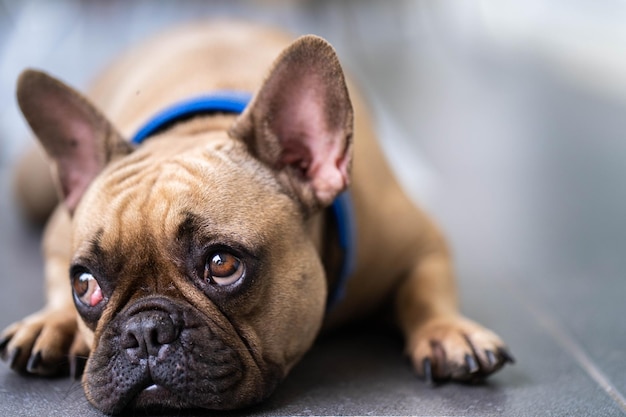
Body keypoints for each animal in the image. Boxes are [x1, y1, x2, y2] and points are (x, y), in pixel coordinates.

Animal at [1, 22, 512, 412]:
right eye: (85, 284)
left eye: (222, 264)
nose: (143, 332)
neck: (198, 129)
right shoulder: (58, 233)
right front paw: (53, 323)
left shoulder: (420, 242)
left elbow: (425, 290)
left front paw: (450, 332)